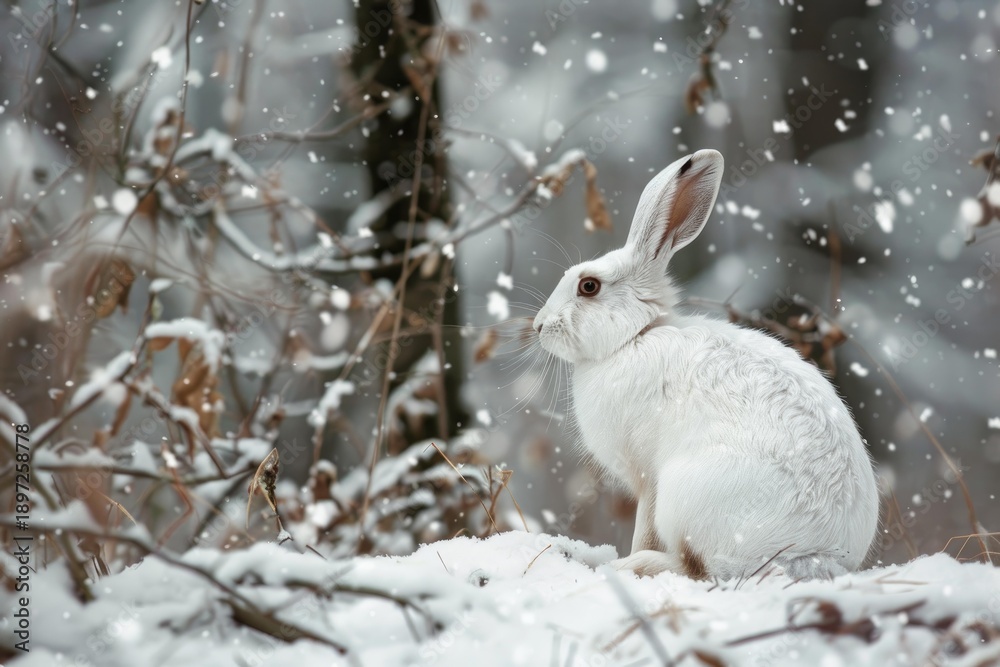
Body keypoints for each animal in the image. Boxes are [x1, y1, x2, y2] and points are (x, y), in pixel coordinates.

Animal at [532, 149, 879, 580]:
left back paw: (635, 565)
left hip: (687, 496)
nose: (539, 326)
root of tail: (815, 555)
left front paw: (626, 555)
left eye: (588, 286)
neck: (635, 337)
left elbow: (644, 527)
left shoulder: (648, 477)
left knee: (699, 569)